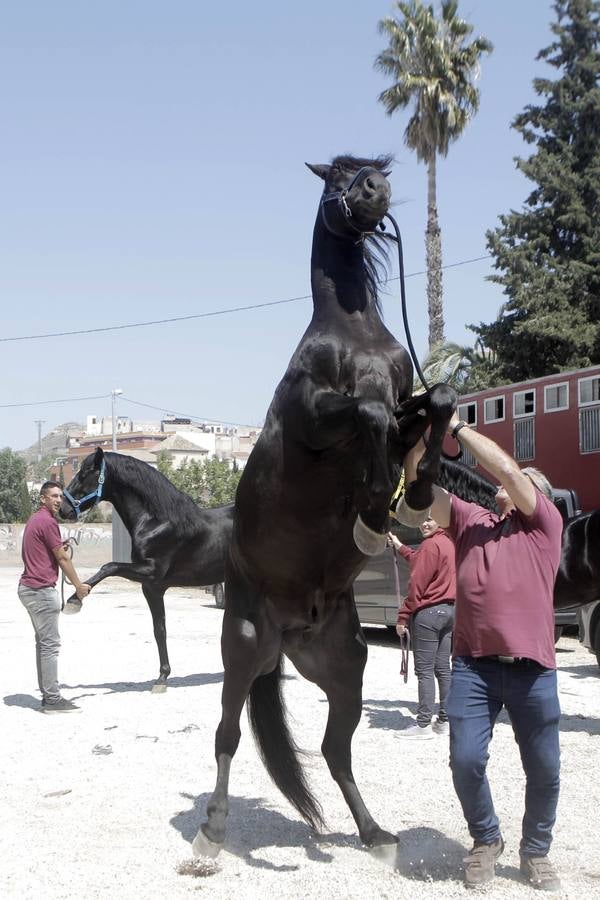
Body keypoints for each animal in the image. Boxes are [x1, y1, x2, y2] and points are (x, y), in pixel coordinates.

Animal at [58, 446, 232, 692]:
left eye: (85, 473)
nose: (63, 509)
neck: (157, 522)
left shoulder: (150, 572)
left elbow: (109, 566)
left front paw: (75, 599)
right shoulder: (151, 587)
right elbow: (159, 630)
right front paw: (162, 677)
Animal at [195, 155, 458, 856]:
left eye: (372, 167)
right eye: (338, 178)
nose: (375, 190)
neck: (354, 332)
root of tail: (291, 634)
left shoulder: (407, 403)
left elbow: (440, 400)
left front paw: (414, 495)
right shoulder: (317, 417)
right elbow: (367, 414)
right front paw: (374, 504)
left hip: (345, 671)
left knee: (335, 750)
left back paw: (374, 833)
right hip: (243, 651)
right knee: (227, 736)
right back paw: (211, 832)